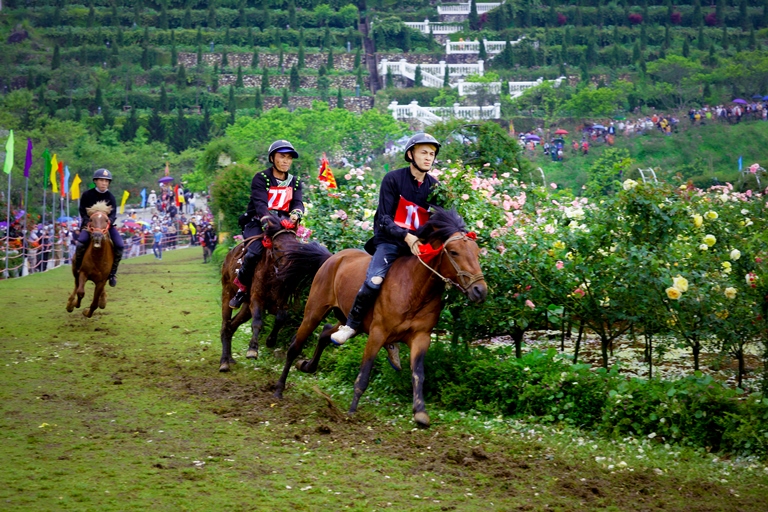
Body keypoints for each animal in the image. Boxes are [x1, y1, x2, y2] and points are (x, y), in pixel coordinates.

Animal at [219, 215, 332, 372]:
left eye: (295, 246)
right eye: (277, 247)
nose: (288, 269)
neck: (273, 273)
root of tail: (230, 254)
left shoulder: (279, 302)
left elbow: (281, 318)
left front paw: (271, 340)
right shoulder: (257, 298)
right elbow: (258, 322)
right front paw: (252, 349)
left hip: (246, 307)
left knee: (232, 326)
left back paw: (230, 358)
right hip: (227, 292)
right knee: (225, 325)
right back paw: (224, 362)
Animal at [274, 208, 486, 428]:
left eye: (477, 252)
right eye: (454, 252)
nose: (480, 291)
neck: (415, 289)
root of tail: (332, 258)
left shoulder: (421, 336)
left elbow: (418, 373)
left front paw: (420, 412)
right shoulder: (378, 333)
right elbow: (364, 372)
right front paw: (352, 411)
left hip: (350, 321)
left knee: (326, 333)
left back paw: (307, 365)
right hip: (314, 311)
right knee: (295, 346)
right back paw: (279, 388)